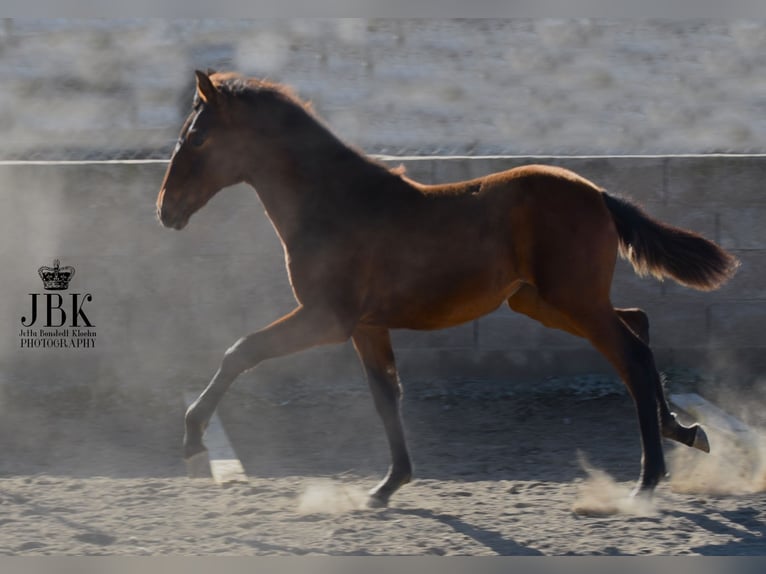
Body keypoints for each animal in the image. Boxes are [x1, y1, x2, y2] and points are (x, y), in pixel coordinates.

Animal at [154, 71, 736, 508]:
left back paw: (648, 479)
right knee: (638, 324)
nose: (164, 209)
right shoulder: (367, 326)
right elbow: (386, 397)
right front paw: (387, 487)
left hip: (572, 300)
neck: (335, 202)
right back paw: (685, 431)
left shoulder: (328, 317)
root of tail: (597, 193)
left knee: (631, 354)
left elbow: (241, 349)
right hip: (544, 301)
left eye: (197, 137)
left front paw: (190, 436)